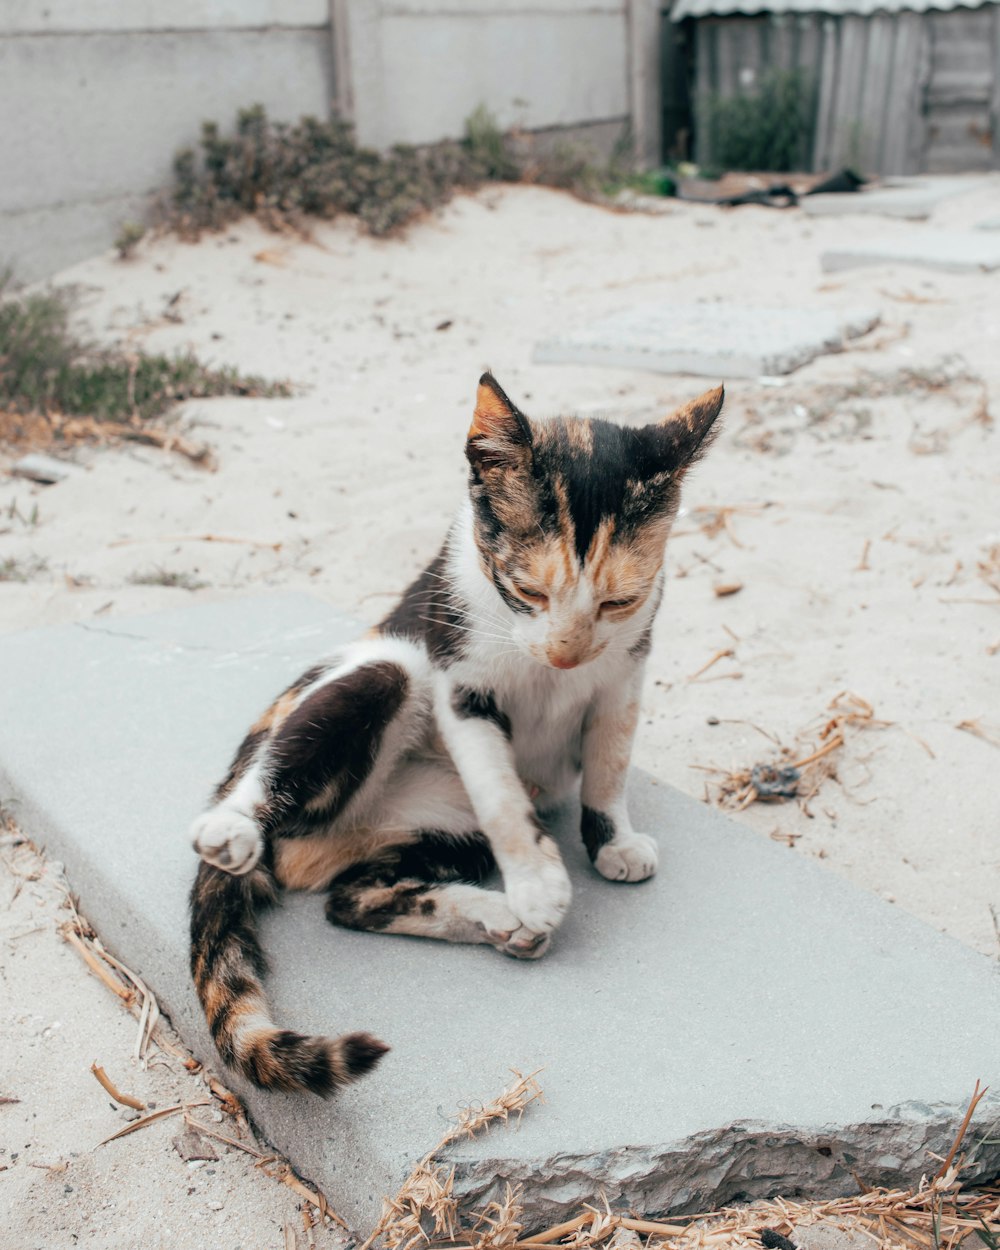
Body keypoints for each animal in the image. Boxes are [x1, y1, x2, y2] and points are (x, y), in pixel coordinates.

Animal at [190, 370, 720, 1095]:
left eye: (619, 601)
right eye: (528, 591)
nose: (565, 655)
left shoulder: (625, 673)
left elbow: (610, 764)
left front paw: (611, 842)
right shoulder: (459, 679)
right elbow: (500, 794)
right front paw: (538, 882)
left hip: (440, 834)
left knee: (349, 900)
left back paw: (498, 919)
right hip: (385, 667)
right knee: (291, 768)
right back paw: (233, 825)